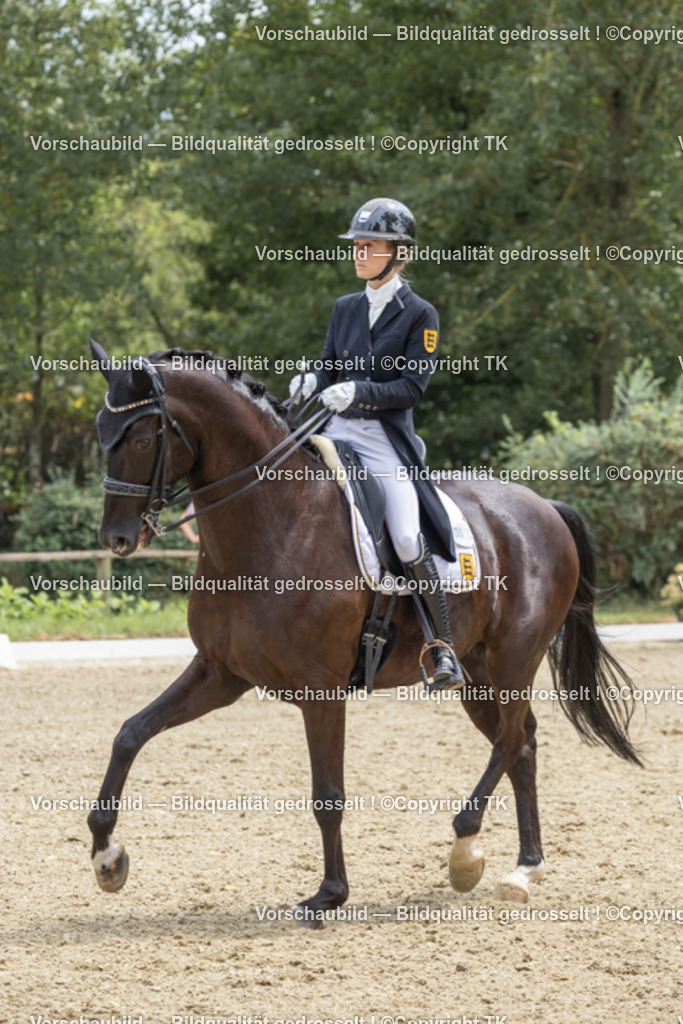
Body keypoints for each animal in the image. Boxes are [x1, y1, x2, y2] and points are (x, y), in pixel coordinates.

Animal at [87, 343, 641, 925]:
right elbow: (130, 733)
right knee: (522, 744)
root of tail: (544, 507)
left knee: (512, 741)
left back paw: (465, 851)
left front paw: (328, 895)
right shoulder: (219, 673)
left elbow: (327, 795)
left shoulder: (321, 691)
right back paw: (524, 868)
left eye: (142, 438)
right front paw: (107, 857)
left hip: (515, 658)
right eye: (102, 430)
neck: (273, 524)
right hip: (476, 671)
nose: (116, 538)